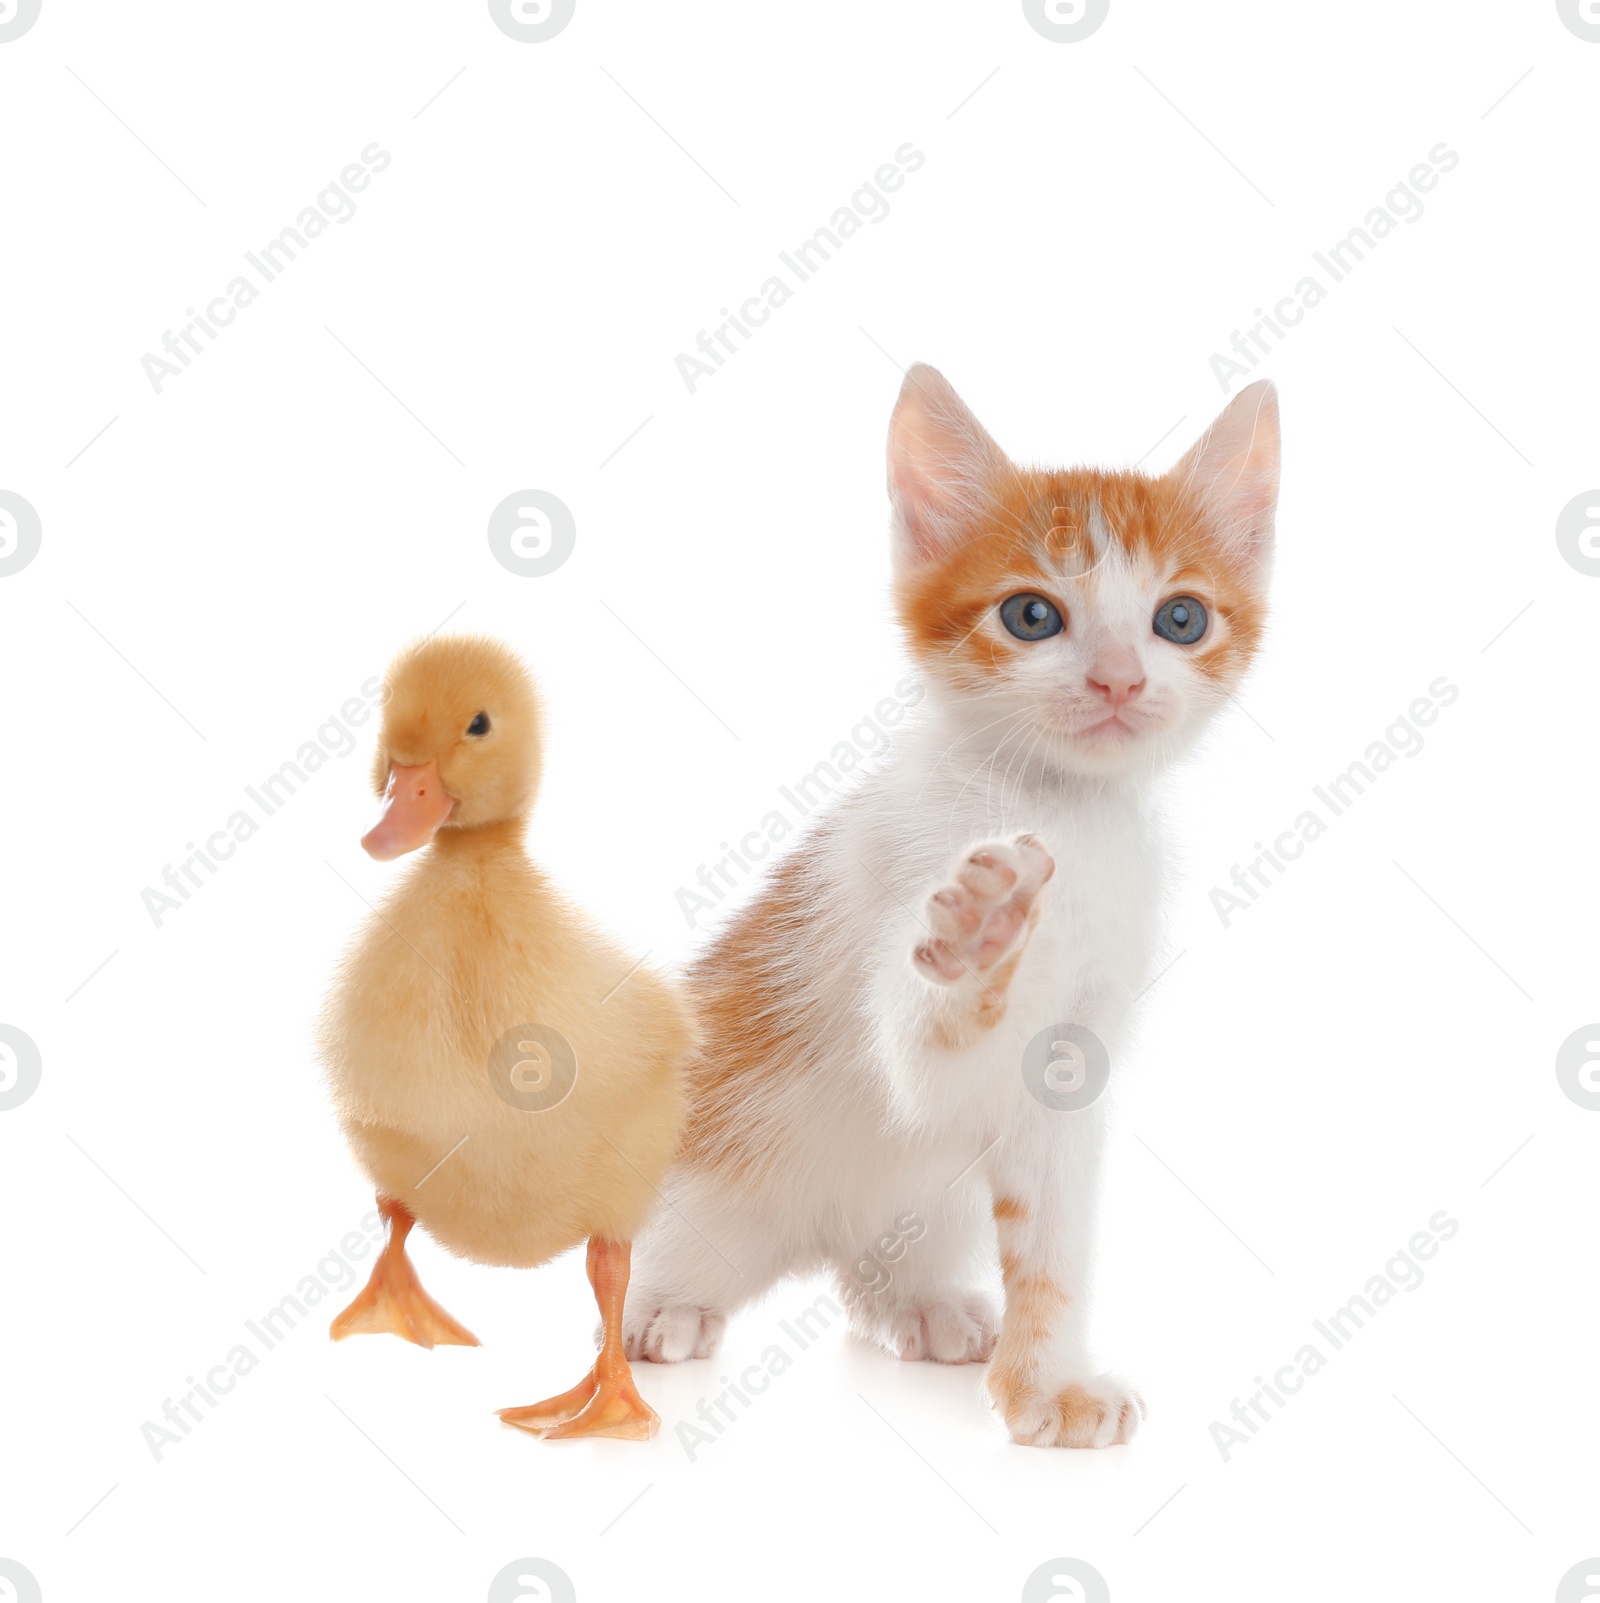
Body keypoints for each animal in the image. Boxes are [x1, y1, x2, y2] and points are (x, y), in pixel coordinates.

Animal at [622, 367, 1276, 1455]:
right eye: (1031, 615)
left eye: (1180, 620)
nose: (1118, 680)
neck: (1059, 809)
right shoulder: (897, 875)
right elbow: (922, 1055)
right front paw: (976, 936)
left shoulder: (1073, 1061)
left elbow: (1053, 1230)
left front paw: (1050, 1382)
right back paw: (654, 1306)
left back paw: (921, 1303)